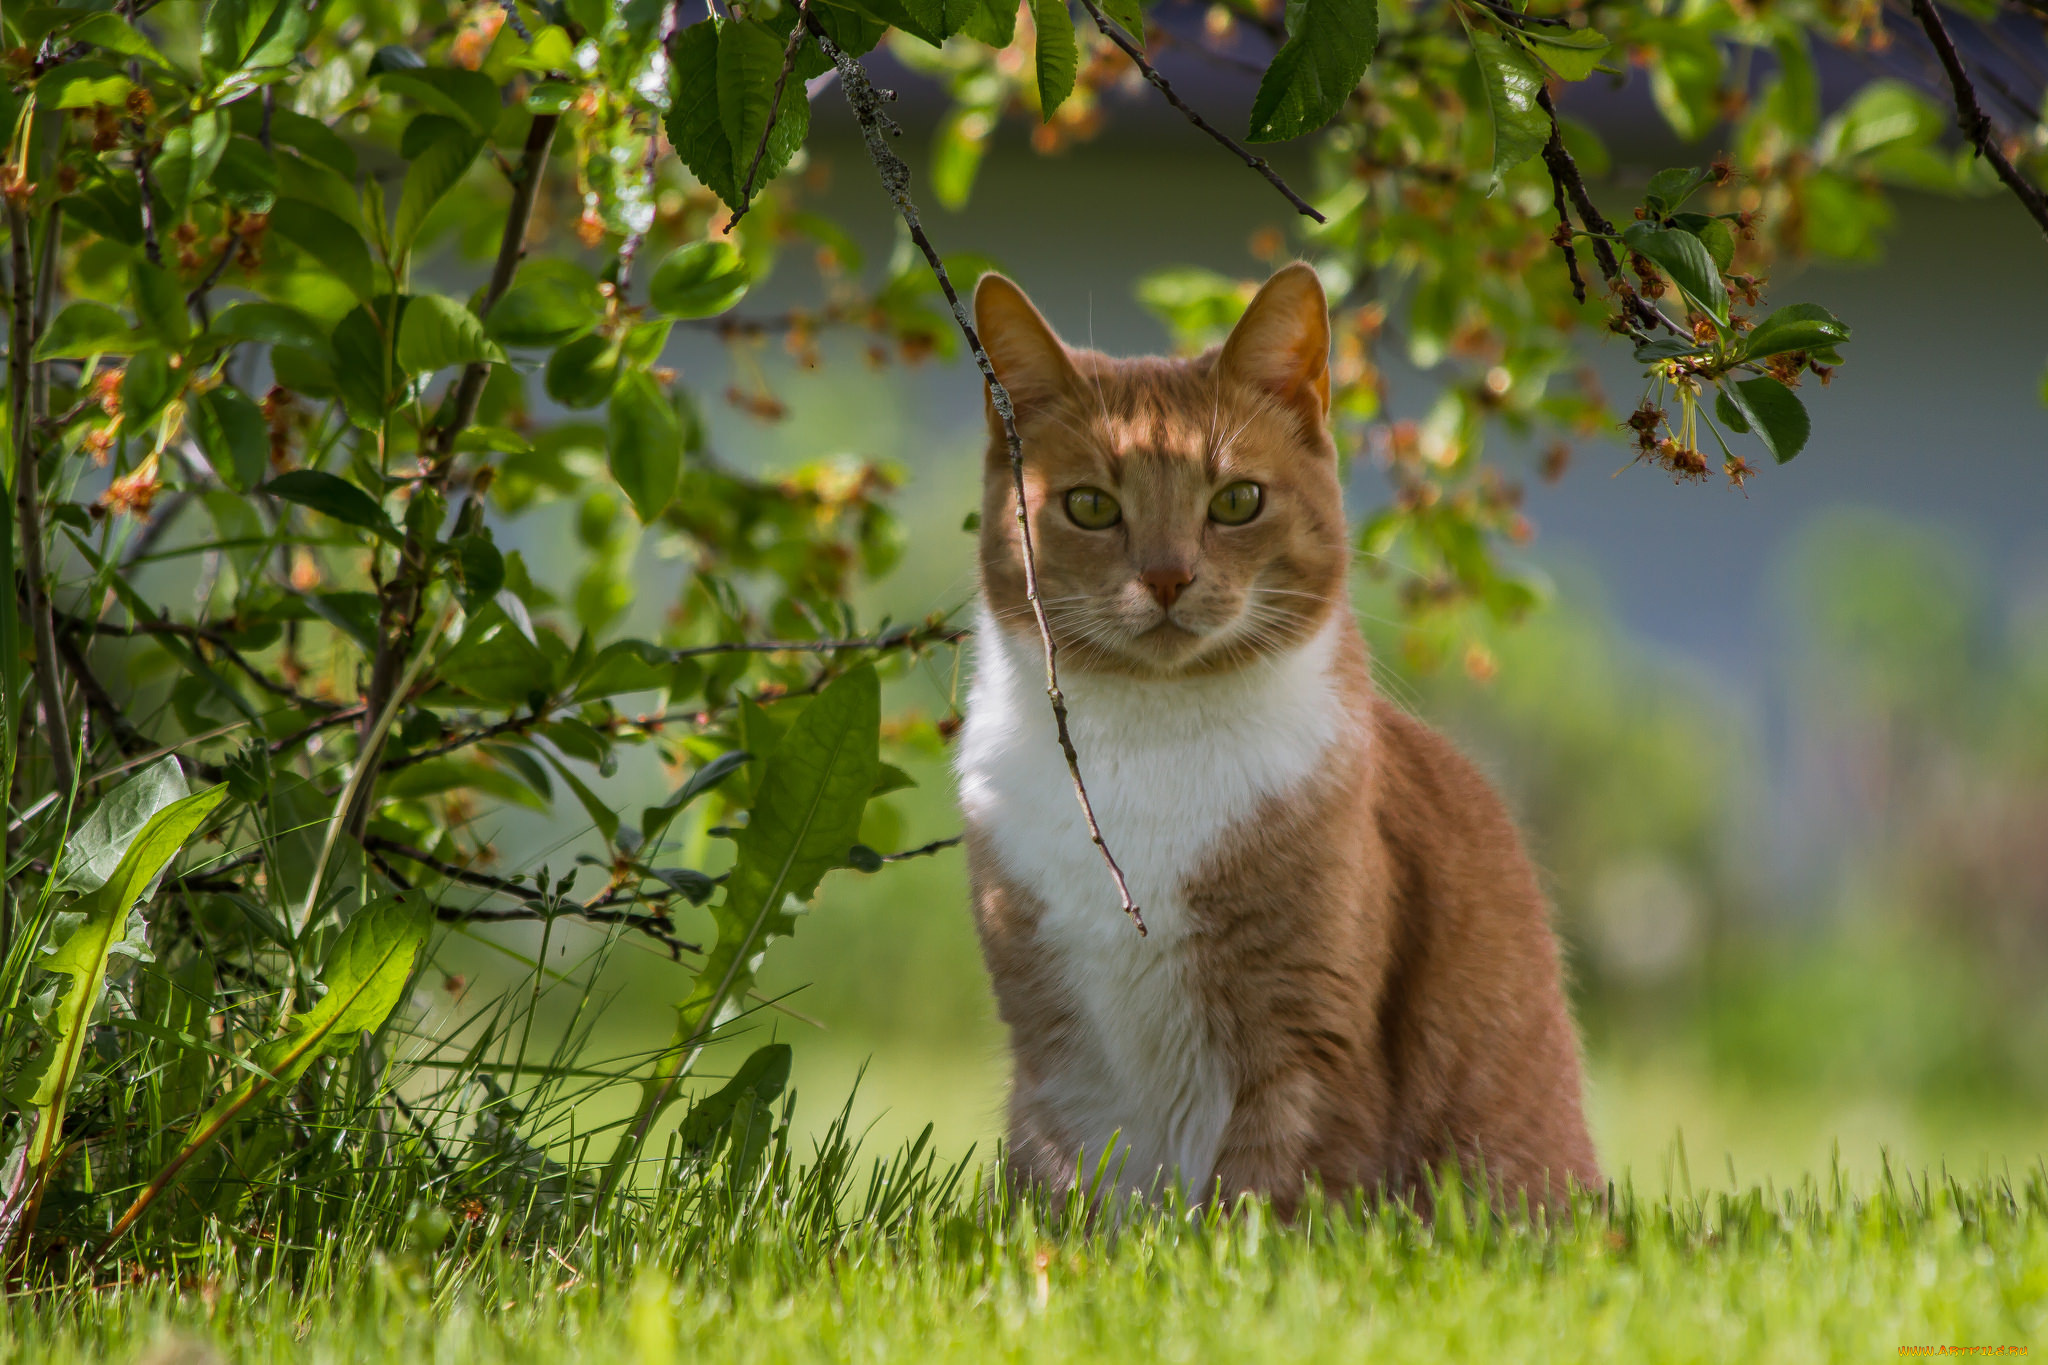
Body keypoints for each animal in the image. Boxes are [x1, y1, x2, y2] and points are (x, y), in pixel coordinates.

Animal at [954, 266, 1597, 1219]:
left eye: (1237, 501)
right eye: (1091, 506)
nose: (1168, 575)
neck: (1150, 745)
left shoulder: (1309, 1043)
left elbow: (1265, 1198)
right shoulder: (1055, 1059)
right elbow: (1076, 1195)